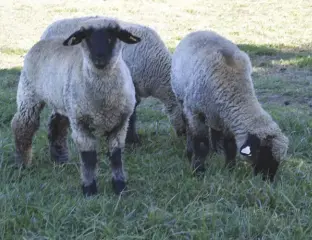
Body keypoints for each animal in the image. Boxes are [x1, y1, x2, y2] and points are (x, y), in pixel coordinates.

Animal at [11, 18, 141, 196]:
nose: (99, 58)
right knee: (23, 126)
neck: (104, 101)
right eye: (87, 37)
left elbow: (116, 158)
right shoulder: (81, 123)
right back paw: (23, 163)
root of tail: (42, 41)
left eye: (112, 36)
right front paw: (89, 190)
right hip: (29, 94)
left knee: (56, 125)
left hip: (63, 102)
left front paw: (120, 187)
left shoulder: (120, 124)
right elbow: (89, 158)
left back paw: (60, 158)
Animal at [169, 30, 288, 181]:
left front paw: (230, 169)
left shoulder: (228, 117)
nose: (268, 180)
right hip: (181, 98)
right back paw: (190, 151)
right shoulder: (196, 112)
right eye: (263, 152)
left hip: (214, 115)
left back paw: (216, 150)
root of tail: (199, 31)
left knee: (214, 129)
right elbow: (201, 144)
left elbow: (230, 145)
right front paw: (199, 170)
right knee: (187, 125)